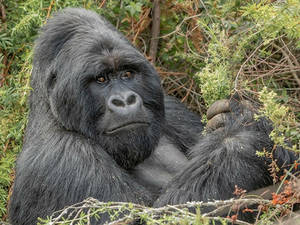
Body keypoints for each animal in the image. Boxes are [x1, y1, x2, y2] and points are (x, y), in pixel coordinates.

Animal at [8, 7, 298, 224]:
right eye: (101, 79)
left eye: (127, 74)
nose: (125, 100)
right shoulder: (64, 158)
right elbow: (156, 217)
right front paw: (242, 136)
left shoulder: (170, 108)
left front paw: (245, 117)